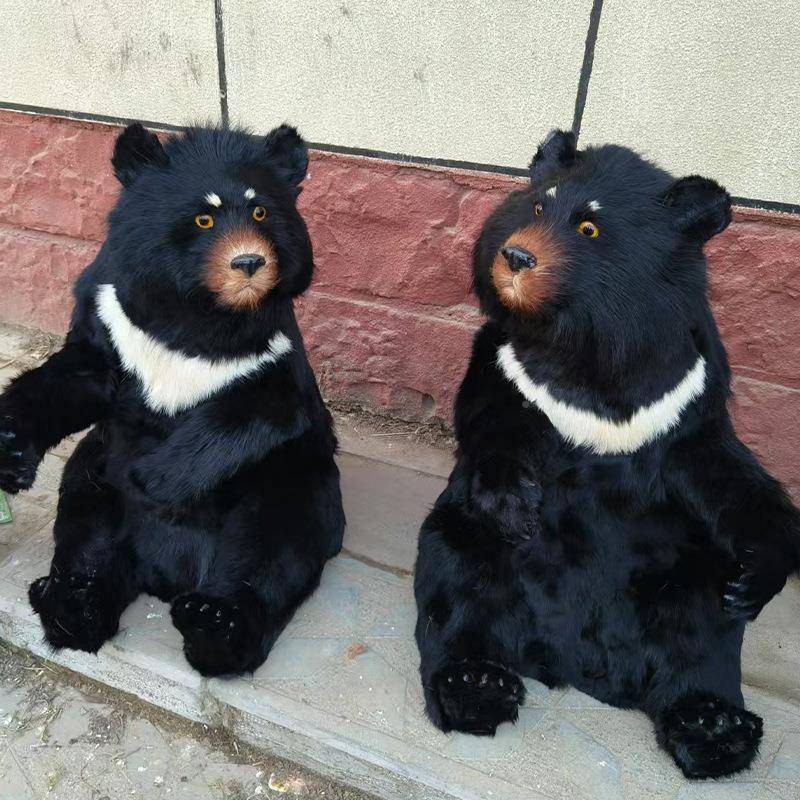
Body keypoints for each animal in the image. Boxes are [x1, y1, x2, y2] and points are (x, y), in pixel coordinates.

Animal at [0, 122, 345, 677]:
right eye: (203, 217)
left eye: (260, 212)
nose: (249, 262)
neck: (197, 312)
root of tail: (167, 575)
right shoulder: (112, 317)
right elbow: (76, 375)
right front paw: (11, 454)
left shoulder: (273, 348)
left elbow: (263, 409)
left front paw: (153, 478)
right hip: (95, 473)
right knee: (85, 532)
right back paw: (69, 605)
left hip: (292, 479)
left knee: (276, 542)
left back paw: (214, 622)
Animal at [414, 130, 800, 779]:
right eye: (536, 206)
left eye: (590, 227)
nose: (515, 257)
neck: (589, 345)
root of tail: (571, 664)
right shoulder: (510, 368)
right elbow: (490, 422)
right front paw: (516, 506)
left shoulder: (686, 397)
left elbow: (725, 472)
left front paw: (757, 573)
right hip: (466, 545)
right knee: (459, 587)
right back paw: (476, 685)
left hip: (682, 574)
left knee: (702, 637)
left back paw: (715, 728)